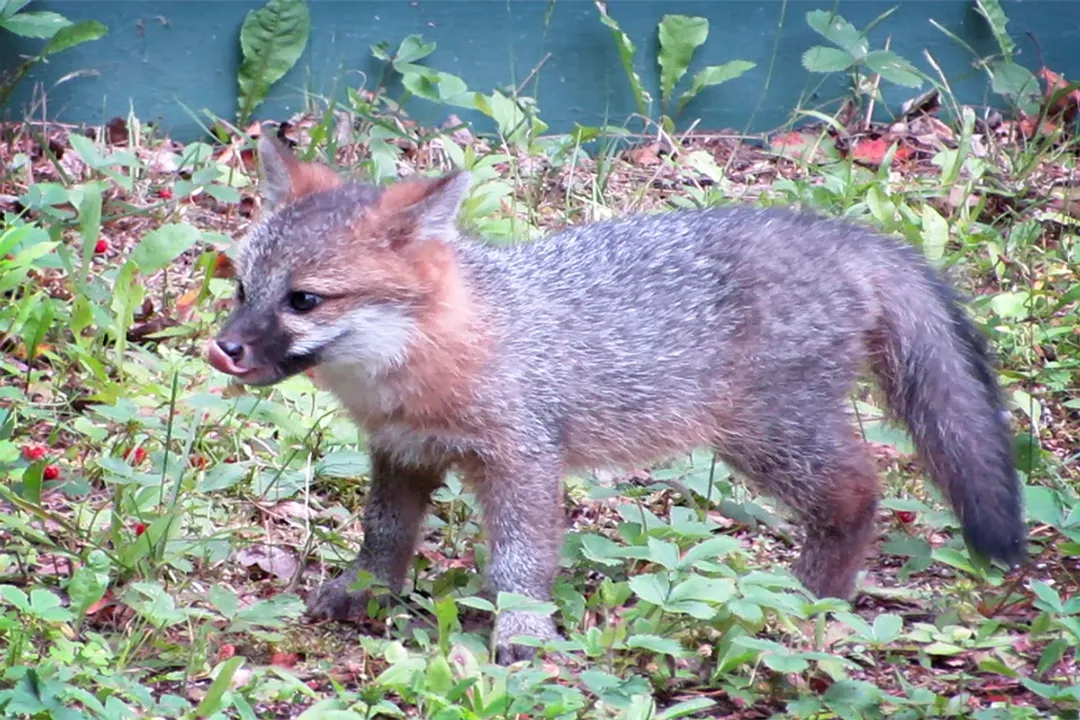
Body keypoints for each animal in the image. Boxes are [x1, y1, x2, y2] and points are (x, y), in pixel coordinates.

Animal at [207, 130, 1026, 664]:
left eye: (304, 300)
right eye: (243, 288)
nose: (224, 347)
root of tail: (839, 235)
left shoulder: (523, 459)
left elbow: (520, 564)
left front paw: (523, 637)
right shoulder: (402, 454)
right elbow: (383, 537)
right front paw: (365, 593)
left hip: (768, 439)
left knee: (860, 494)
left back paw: (800, 603)